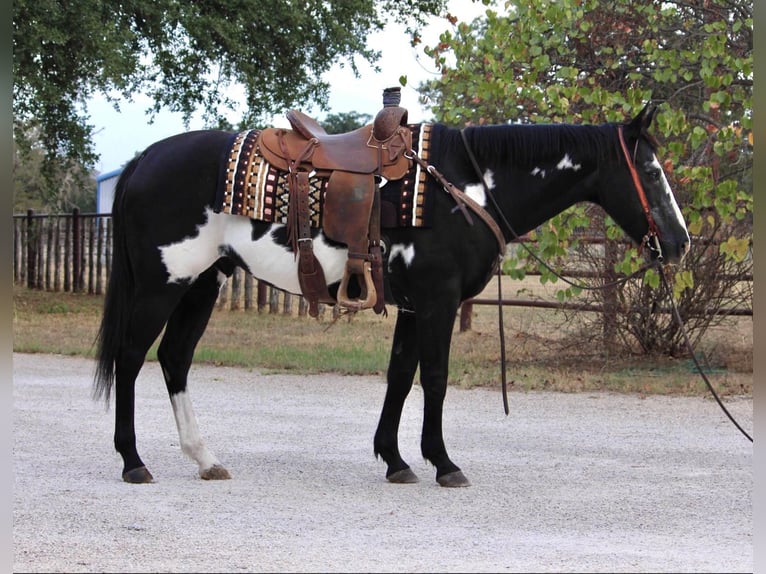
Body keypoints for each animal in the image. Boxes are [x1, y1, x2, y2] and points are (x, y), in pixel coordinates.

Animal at [93, 104, 690, 487]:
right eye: (650, 169)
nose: (680, 241)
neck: (465, 187)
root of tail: (144, 160)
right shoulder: (438, 302)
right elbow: (436, 379)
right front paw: (443, 463)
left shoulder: (412, 305)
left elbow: (401, 377)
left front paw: (395, 460)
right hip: (162, 284)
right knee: (131, 356)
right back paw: (132, 461)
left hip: (202, 283)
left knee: (175, 359)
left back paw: (204, 458)